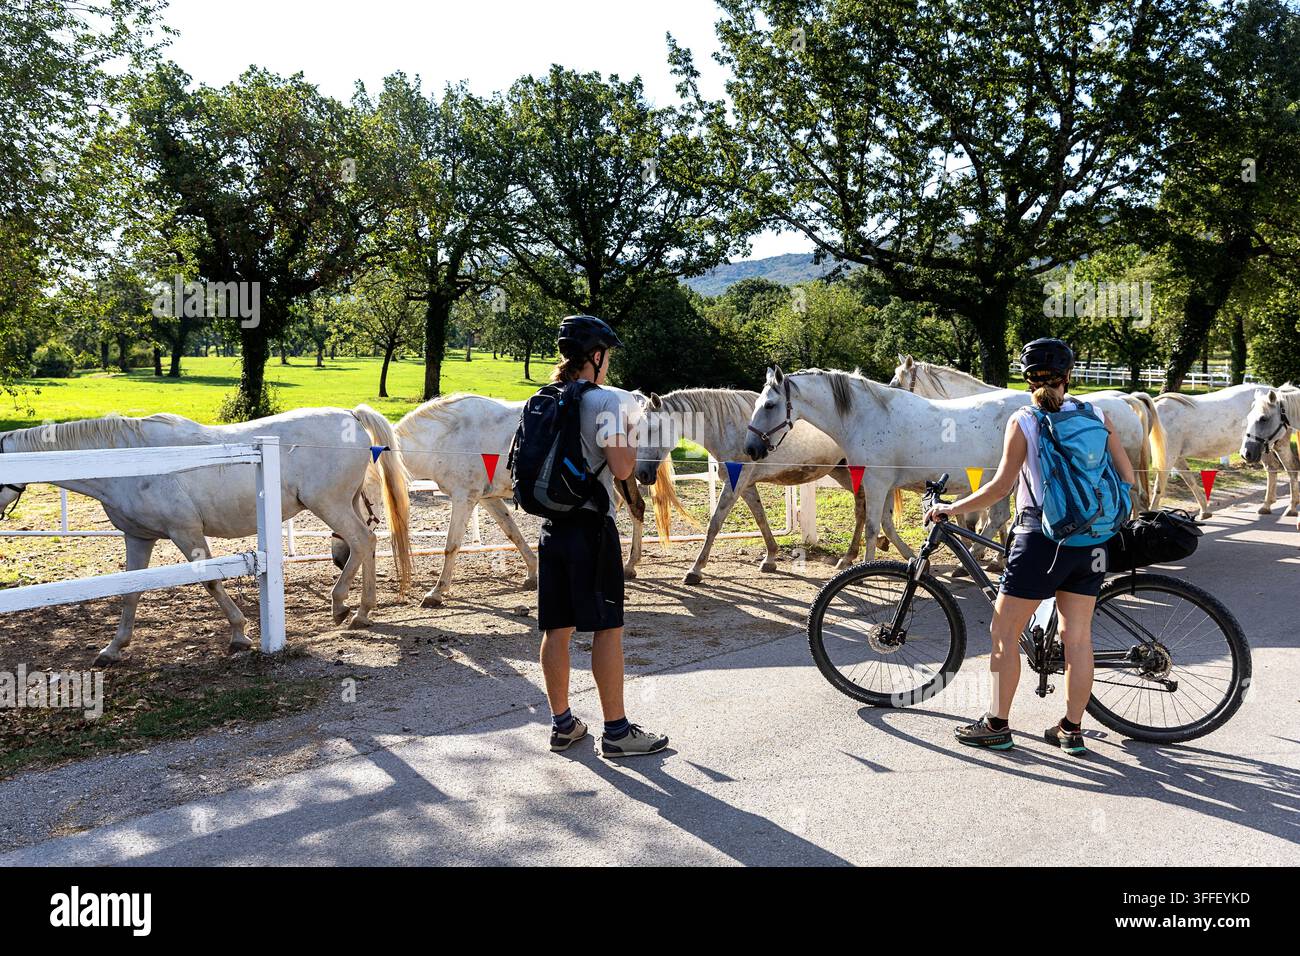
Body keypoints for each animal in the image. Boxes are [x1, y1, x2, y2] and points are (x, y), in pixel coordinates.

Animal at [0, 406, 412, 665]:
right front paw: (113, 648)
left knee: (362, 542)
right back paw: (363, 611)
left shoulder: (186, 532)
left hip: (329, 504)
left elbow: (211, 582)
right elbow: (131, 591)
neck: (131, 460)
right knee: (366, 545)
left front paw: (240, 635)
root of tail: (350, 417)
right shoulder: (138, 538)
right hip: (345, 504)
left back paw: (344, 607)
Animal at [630, 388, 891, 584]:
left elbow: (714, 524)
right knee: (862, 510)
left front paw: (695, 570)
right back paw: (851, 557)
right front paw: (771, 558)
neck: (729, 428)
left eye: (652, 429)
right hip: (843, 474)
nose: (641, 474)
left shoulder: (735, 485)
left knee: (863, 511)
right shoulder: (745, 486)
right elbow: (760, 517)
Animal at [744, 366, 1034, 566]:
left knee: (1000, 519)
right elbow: (885, 523)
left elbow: (872, 527)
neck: (867, 417)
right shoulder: (882, 486)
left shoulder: (876, 484)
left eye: (769, 405)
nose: (751, 448)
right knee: (999, 518)